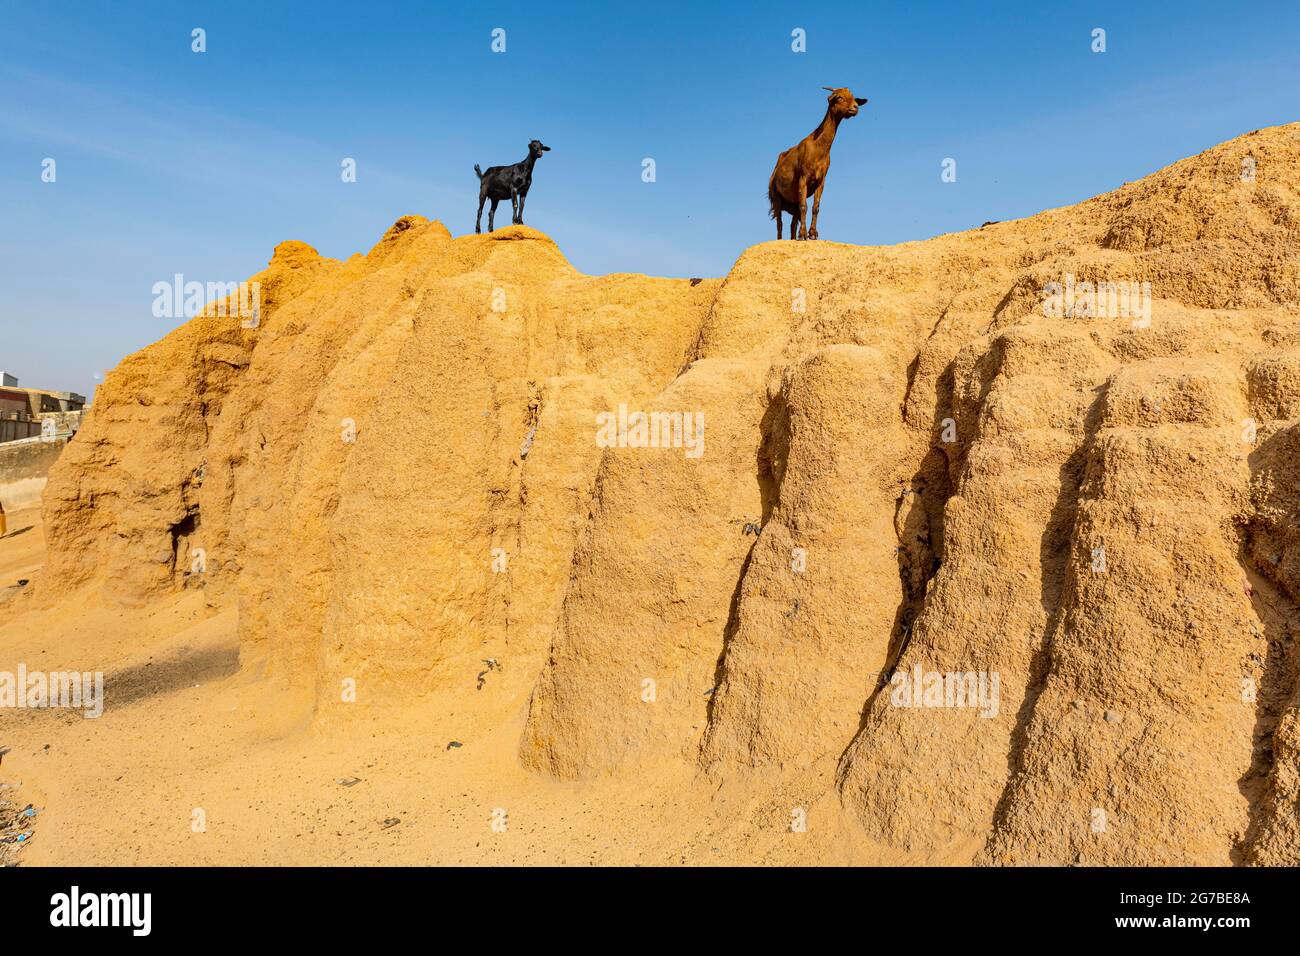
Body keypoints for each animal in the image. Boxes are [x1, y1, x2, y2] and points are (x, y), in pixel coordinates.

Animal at [764, 87, 868, 239]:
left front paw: (812, 233)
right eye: (840, 98)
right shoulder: (803, 178)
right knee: (780, 222)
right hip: (775, 195)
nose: (855, 107)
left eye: (854, 98)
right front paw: (804, 234)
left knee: (792, 223)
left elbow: (815, 207)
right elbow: (804, 206)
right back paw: (782, 239)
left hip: (792, 201)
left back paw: (794, 238)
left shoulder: (821, 181)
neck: (818, 147)